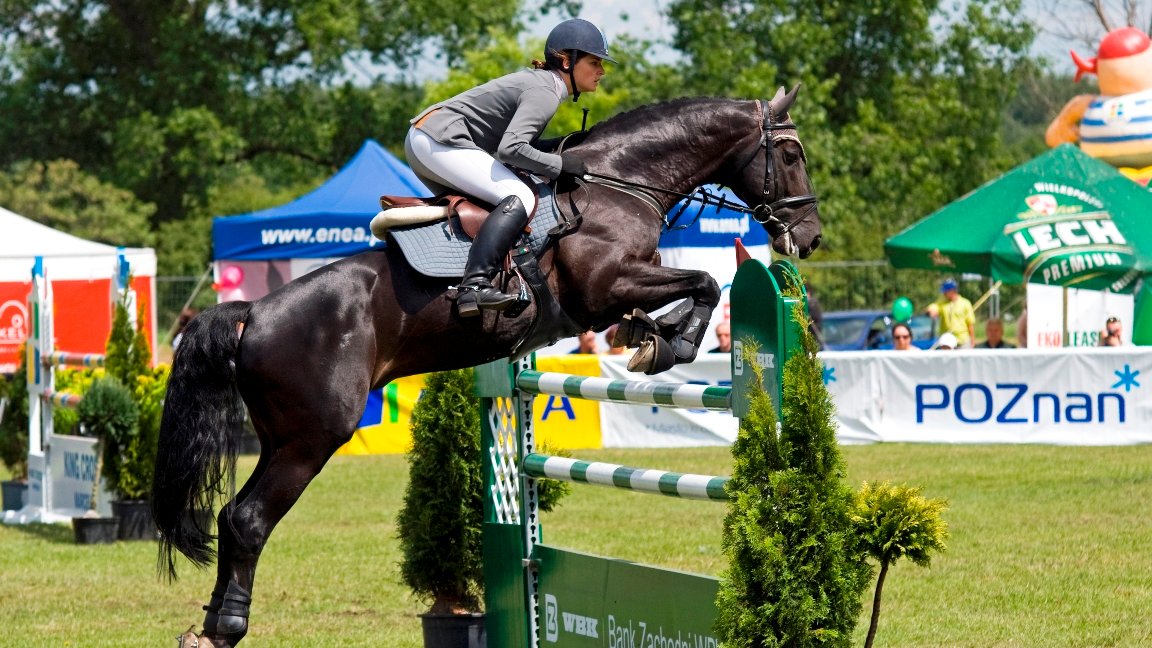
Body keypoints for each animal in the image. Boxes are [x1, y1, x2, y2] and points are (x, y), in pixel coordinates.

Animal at [155, 87, 820, 645]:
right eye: (790, 153)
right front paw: (671, 346)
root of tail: (253, 311)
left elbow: (679, 293)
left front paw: (650, 336)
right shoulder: (603, 288)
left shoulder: (622, 288)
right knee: (248, 520)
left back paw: (208, 626)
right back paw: (226, 629)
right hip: (311, 438)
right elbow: (704, 280)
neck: (618, 184)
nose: (808, 238)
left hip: (280, 437)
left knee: (231, 516)